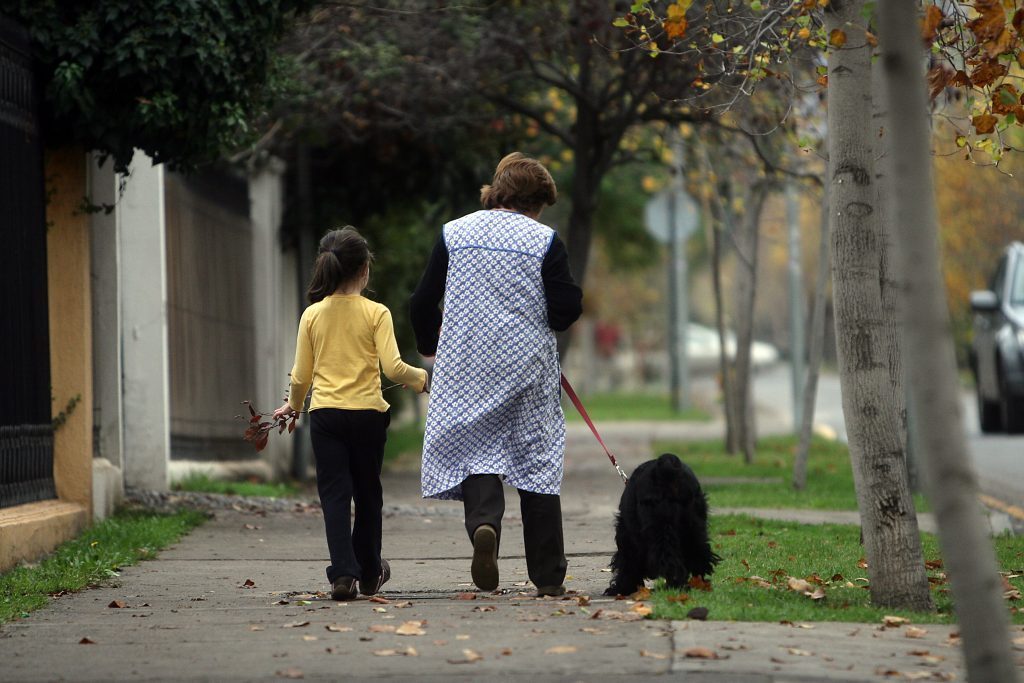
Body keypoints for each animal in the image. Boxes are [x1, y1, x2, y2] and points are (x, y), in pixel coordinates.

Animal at [606, 456, 720, 593]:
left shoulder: (627, 536)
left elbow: (627, 562)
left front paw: (622, 588)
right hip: (695, 525)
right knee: (699, 553)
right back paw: (699, 584)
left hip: (660, 526)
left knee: (667, 557)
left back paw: (675, 585)